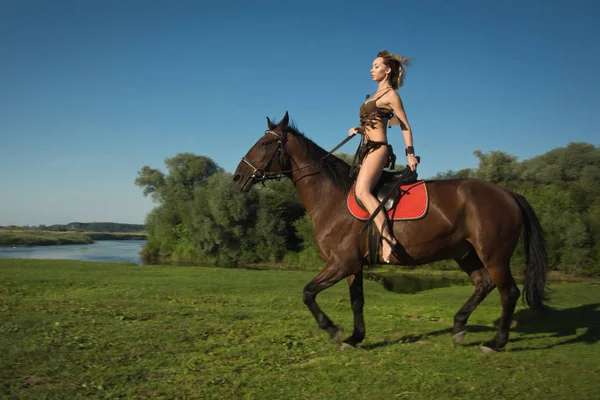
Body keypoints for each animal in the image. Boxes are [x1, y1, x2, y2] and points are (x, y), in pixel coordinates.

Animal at [231, 111, 548, 352]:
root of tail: (507, 193)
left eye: (264, 143)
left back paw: (496, 342)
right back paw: (459, 326)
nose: (237, 177)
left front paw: (334, 331)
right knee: (484, 284)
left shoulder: (341, 262)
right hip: (465, 253)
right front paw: (354, 337)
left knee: (508, 292)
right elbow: (356, 301)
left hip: (494, 255)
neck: (332, 197)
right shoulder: (353, 265)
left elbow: (308, 293)